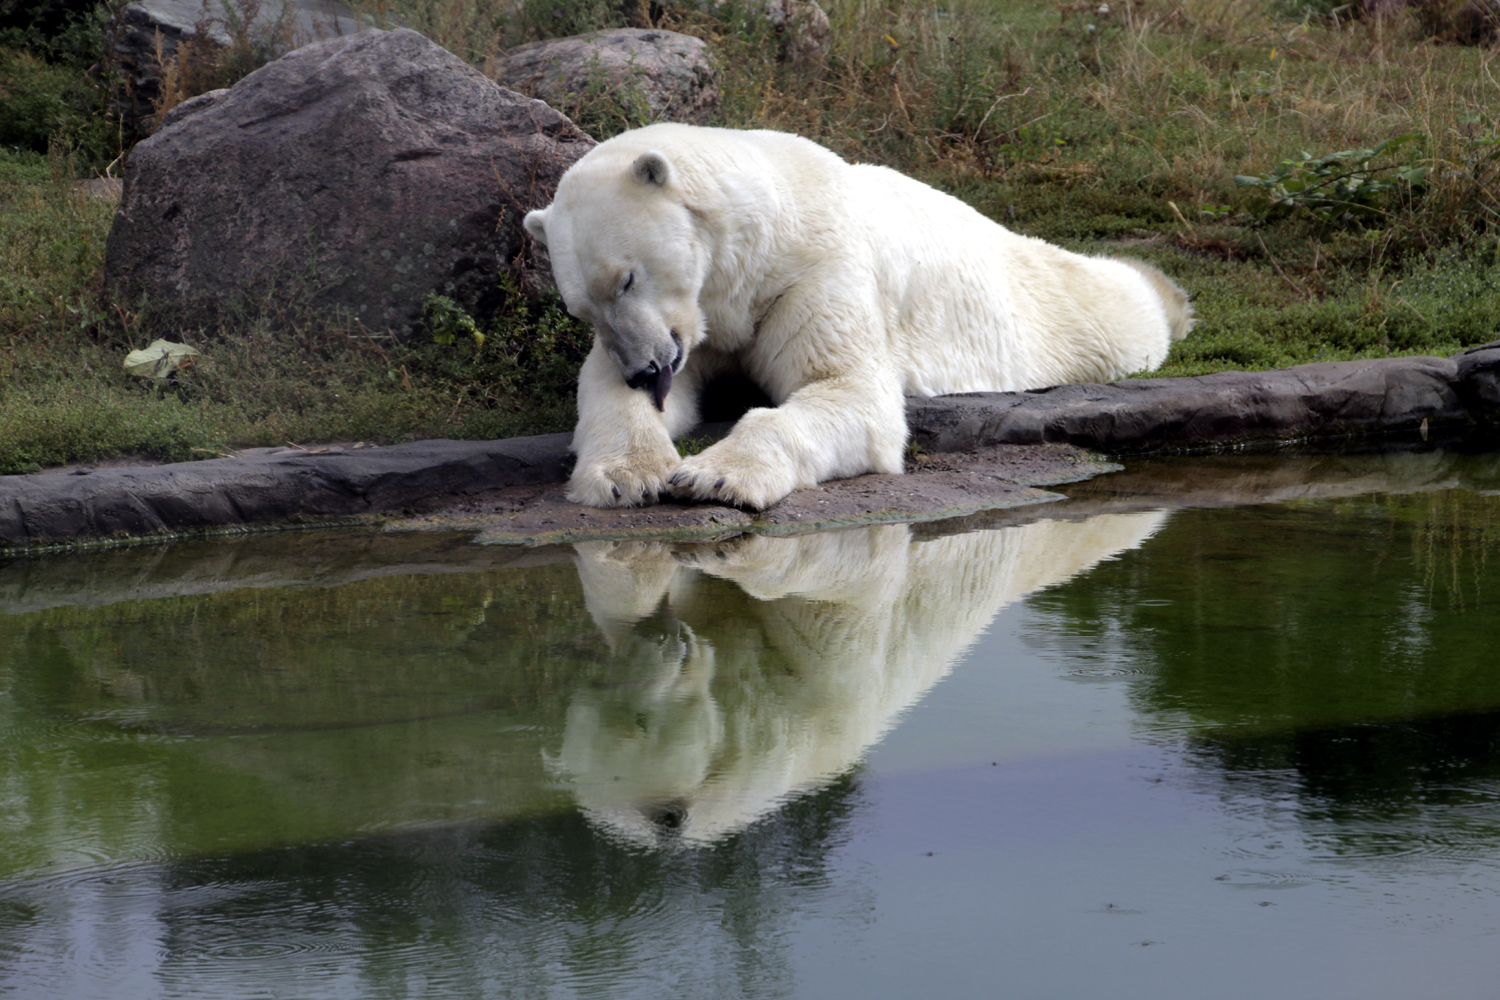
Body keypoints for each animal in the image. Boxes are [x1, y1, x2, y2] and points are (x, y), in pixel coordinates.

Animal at [522, 124, 1188, 512]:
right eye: (581, 308)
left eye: (627, 278)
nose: (645, 370)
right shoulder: (706, 316)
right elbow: (606, 387)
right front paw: (627, 476)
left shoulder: (810, 271)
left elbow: (846, 387)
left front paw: (715, 477)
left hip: (1048, 306)